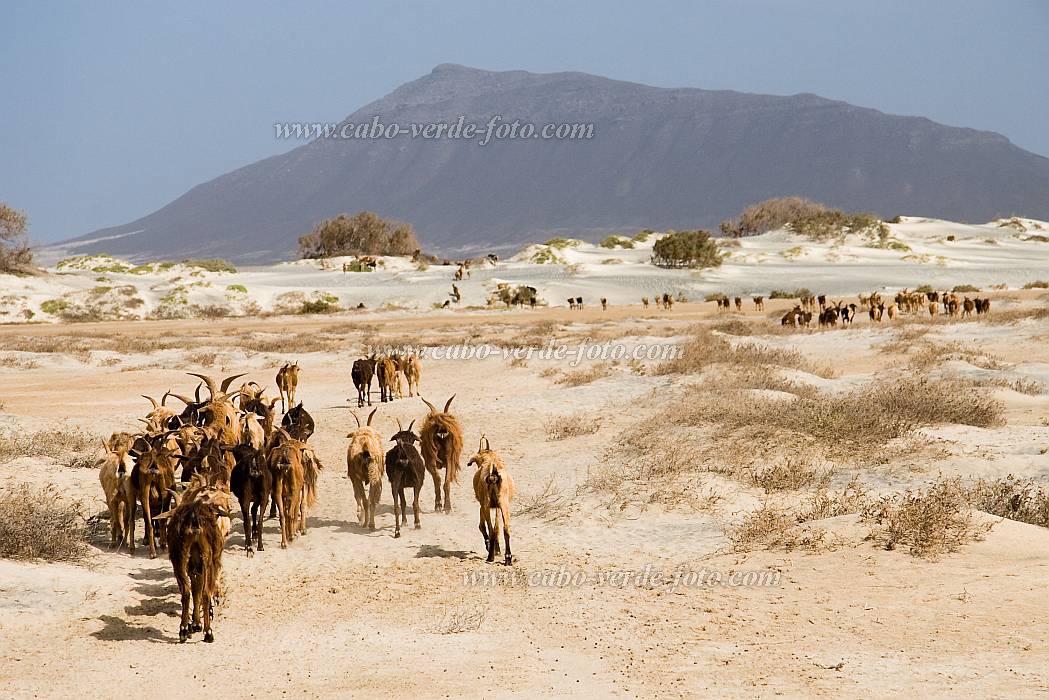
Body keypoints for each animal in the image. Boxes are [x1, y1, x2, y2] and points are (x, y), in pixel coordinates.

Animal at [469, 438, 514, 570]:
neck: (489, 458)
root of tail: (493, 473)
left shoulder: (483, 505)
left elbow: (482, 526)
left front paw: (491, 547)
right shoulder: (498, 507)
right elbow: (497, 527)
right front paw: (497, 549)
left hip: (486, 505)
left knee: (490, 529)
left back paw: (490, 556)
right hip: (503, 504)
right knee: (505, 528)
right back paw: (508, 558)